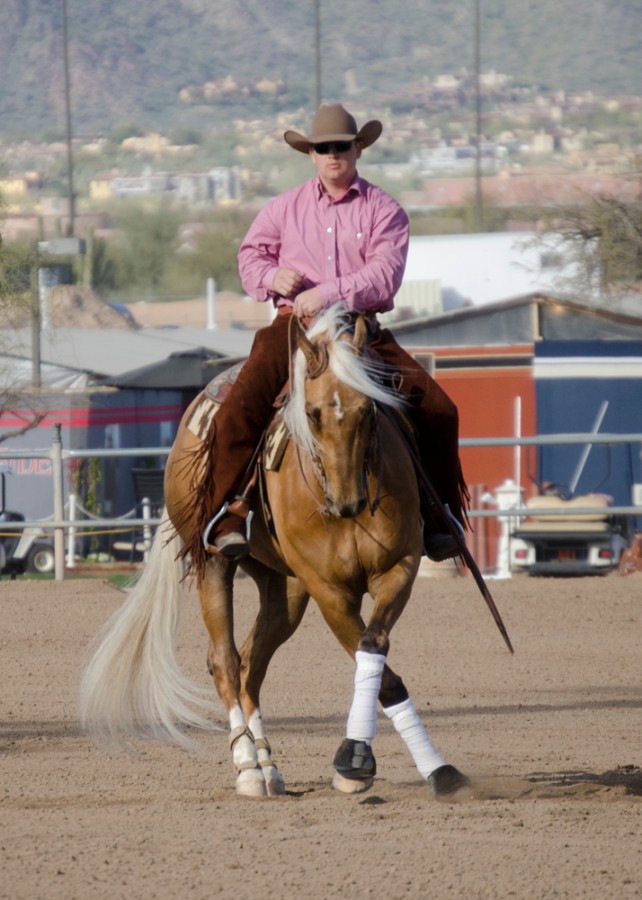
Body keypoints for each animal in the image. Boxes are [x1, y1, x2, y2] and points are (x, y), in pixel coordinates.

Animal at [80, 307, 474, 798]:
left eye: (368, 410)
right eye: (311, 413)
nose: (348, 502)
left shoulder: (396, 571)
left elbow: (374, 649)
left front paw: (430, 768)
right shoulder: (328, 590)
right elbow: (375, 664)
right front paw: (355, 763)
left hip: (283, 587)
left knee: (252, 664)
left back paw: (267, 763)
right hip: (216, 565)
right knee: (225, 661)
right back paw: (248, 764)